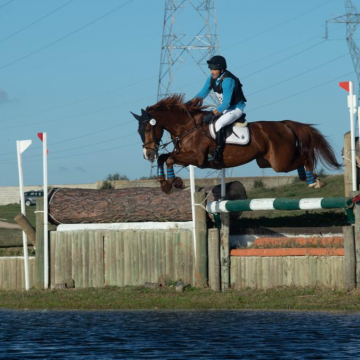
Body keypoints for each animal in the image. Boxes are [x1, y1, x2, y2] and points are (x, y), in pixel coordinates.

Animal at [131, 94, 342, 193]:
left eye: (148, 129)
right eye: (139, 131)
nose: (148, 154)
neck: (187, 127)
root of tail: (284, 124)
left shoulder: (196, 158)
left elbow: (168, 159)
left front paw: (175, 182)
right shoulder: (184, 156)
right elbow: (164, 158)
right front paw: (164, 184)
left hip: (279, 162)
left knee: (305, 156)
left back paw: (314, 181)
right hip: (266, 161)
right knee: (299, 158)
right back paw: (305, 177)